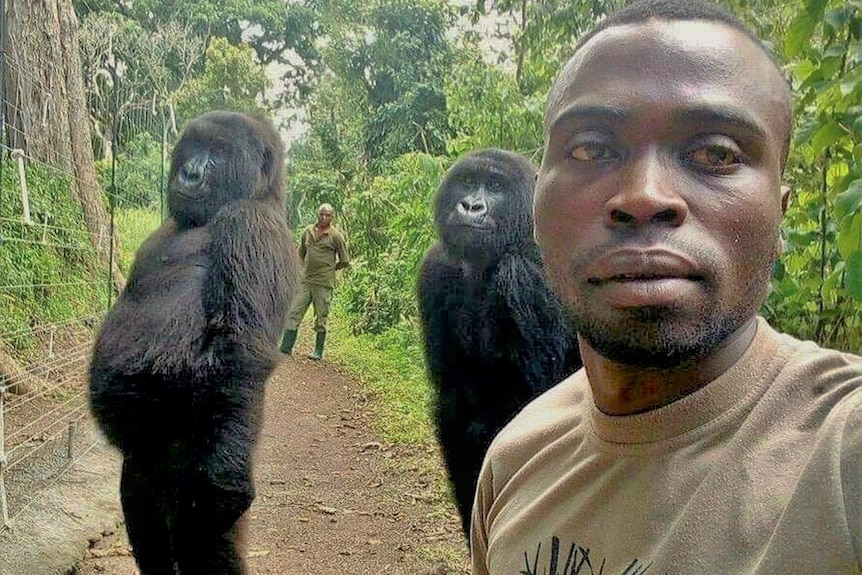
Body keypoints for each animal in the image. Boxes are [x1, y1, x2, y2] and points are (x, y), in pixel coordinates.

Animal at [88, 110, 296, 572]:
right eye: (194, 147)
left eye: (217, 153)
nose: (190, 171)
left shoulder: (252, 225)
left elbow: (240, 352)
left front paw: (228, 483)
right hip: (141, 471)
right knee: (145, 519)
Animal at [416, 148, 580, 536]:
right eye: (467, 181)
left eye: (494, 187)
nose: (470, 206)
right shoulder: (435, 269)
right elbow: (454, 408)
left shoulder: (525, 276)